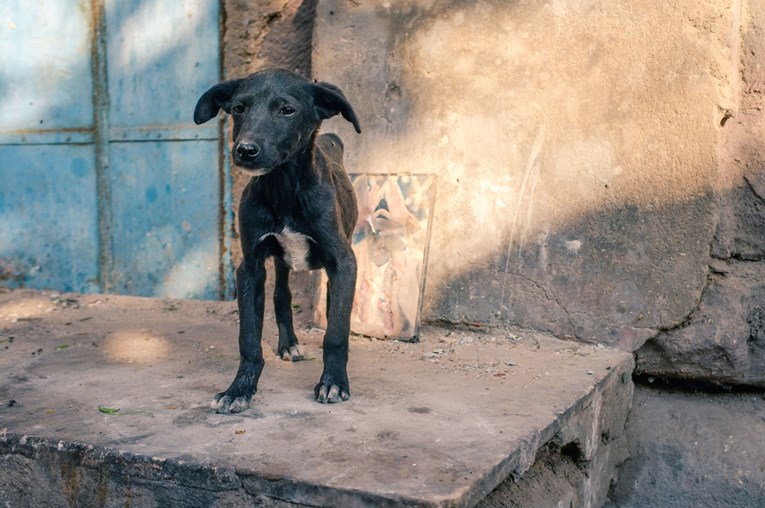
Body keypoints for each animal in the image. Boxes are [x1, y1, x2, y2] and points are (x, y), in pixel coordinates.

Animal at [194, 69, 362, 414]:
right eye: (238, 108)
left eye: (287, 110)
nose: (245, 150)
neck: (283, 187)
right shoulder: (250, 266)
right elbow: (248, 338)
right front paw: (239, 388)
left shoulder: (343, 261)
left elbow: (336, 332)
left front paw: (333, 382)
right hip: (282, 261)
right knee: (281, 295)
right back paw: (289, 344)